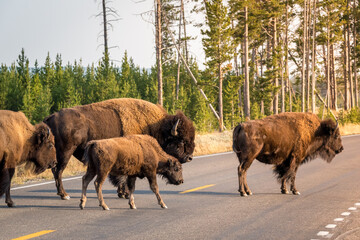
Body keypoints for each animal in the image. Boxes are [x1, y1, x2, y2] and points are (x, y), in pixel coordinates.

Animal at [44, 96, 195, 200]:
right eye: (181, 141)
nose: (189, 157)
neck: (156, 126)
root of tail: (50, 118)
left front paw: (122, 193)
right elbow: (123, 178)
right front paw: (126, 194)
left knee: (56, 171)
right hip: (65, 152)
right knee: (58, 171)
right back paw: (64, 195)